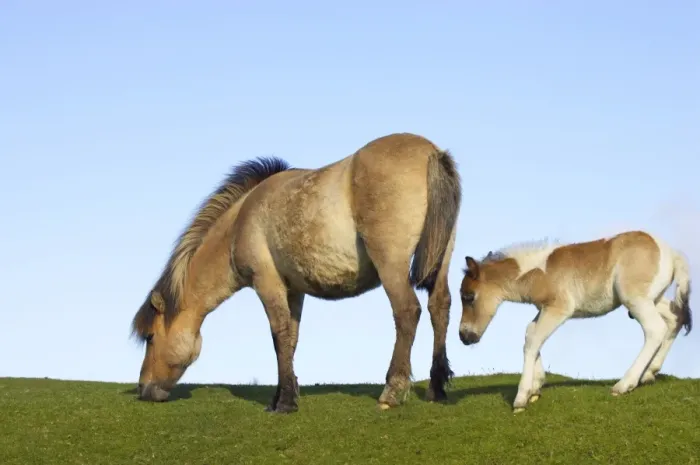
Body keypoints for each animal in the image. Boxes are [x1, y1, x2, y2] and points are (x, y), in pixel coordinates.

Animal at [131, 132, 462, 413]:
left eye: (150, 337)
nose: (143, 389)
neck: (241, 219)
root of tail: (431, 152)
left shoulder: (267, 284)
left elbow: (278, 334)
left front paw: (286, 402)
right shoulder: (294, 290)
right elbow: (291, 339)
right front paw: (282, 395)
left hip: (391, 265)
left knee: (407, 312)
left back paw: (392, 391)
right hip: (442, 258)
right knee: (439, 308)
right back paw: (436, 389)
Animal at [457, 230, 692, 413]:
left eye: (468, 296)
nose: (464, 336)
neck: (538, 270)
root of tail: (671, 252)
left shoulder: (559, 308)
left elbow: (533, 339)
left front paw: (522, 398)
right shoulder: (543, 309)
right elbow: (530, 333)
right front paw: (536, 386)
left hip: (635, 299)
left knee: (656, 329)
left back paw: (624, 385)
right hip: (654, 298)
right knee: (675, 318)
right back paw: (650, 373)